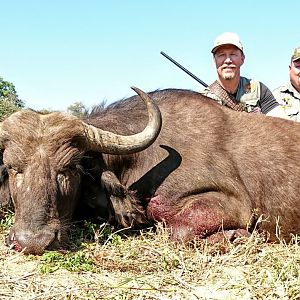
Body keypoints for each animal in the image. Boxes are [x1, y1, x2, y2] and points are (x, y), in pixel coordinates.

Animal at [0, 86, 300, 253]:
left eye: (70, 168)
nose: (33, 241)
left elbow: (178, 232)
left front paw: (237, 236)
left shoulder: (233, 206)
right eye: (13, 167)